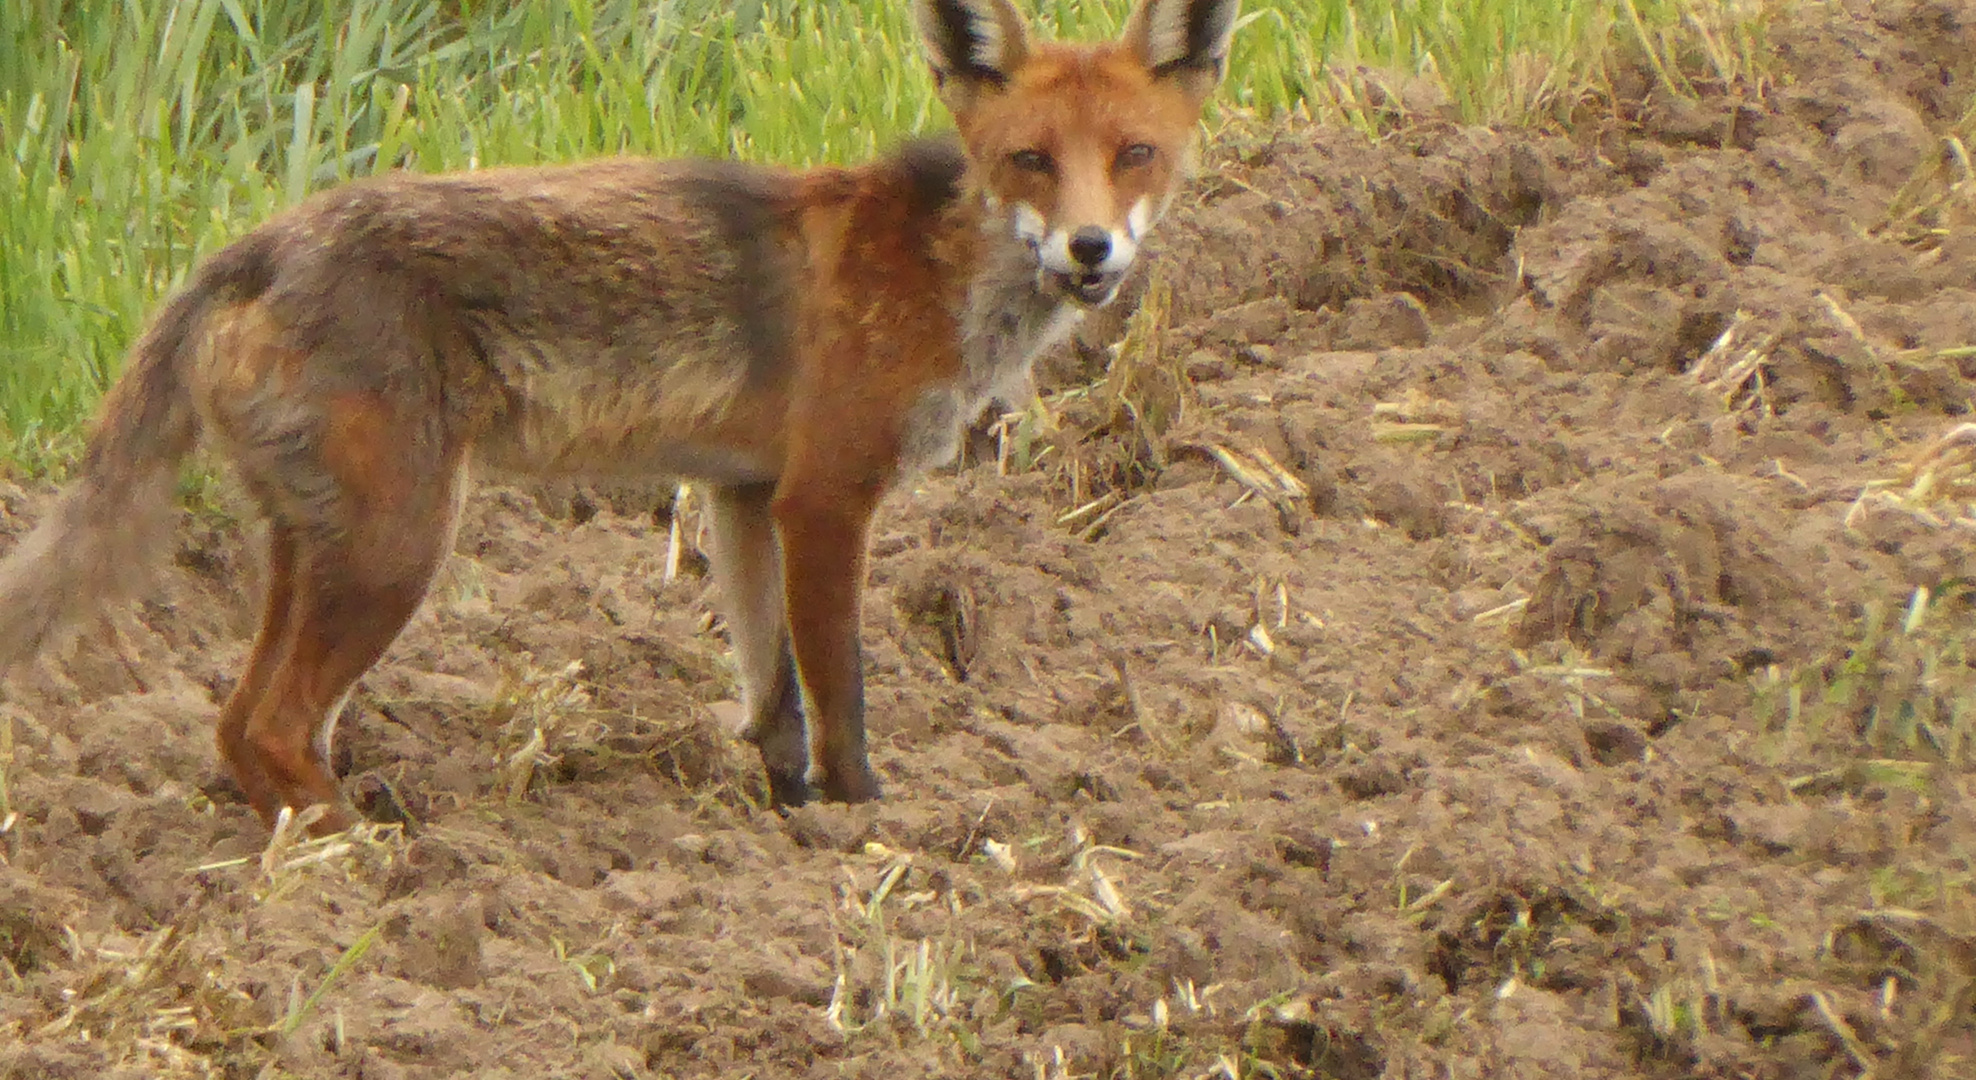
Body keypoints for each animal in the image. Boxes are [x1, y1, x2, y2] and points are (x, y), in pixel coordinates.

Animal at [0, 0, 1233, 837]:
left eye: (1134, 155)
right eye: (1030, 160)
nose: (1091, 251)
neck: (941, 274)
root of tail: (247, 248)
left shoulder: (743, 495)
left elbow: (771, 697)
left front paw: (785, 814)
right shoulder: (824, 499)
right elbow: (839, 692)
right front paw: (862, 823)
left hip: (315, 546)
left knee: (239, 725)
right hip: (399, 547)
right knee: (268, 725)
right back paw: (379, 870)